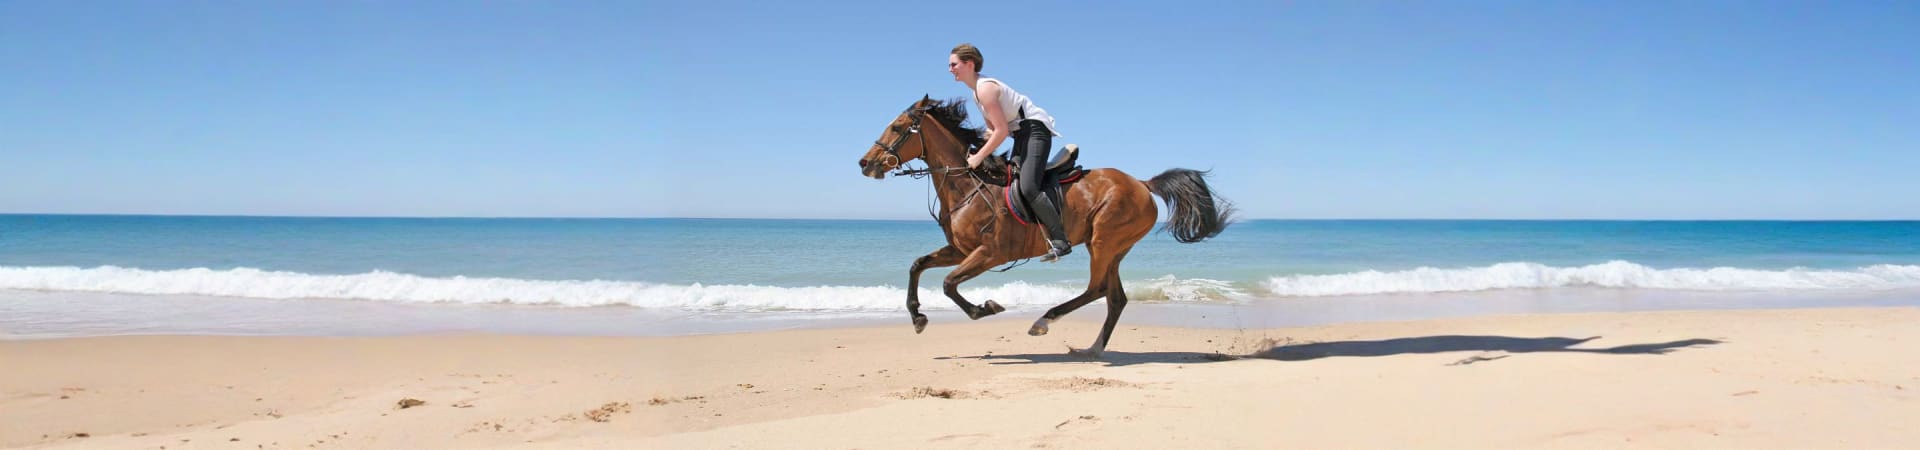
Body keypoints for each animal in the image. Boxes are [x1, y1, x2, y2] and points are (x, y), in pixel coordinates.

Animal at [857, 95, 1234, 357]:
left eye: (897, 127)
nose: (864, 163)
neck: (967, 184)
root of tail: (1142, 183)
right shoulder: (960, 250)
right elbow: (917, 266)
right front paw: (918, 318)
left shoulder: (989, 253)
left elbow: (949, 284)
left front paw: (985, 308)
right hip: (1113, 247)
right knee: (1115, 297)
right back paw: (1092, 349)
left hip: (1104, 242)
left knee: (1097, 289)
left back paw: (1044, 322)